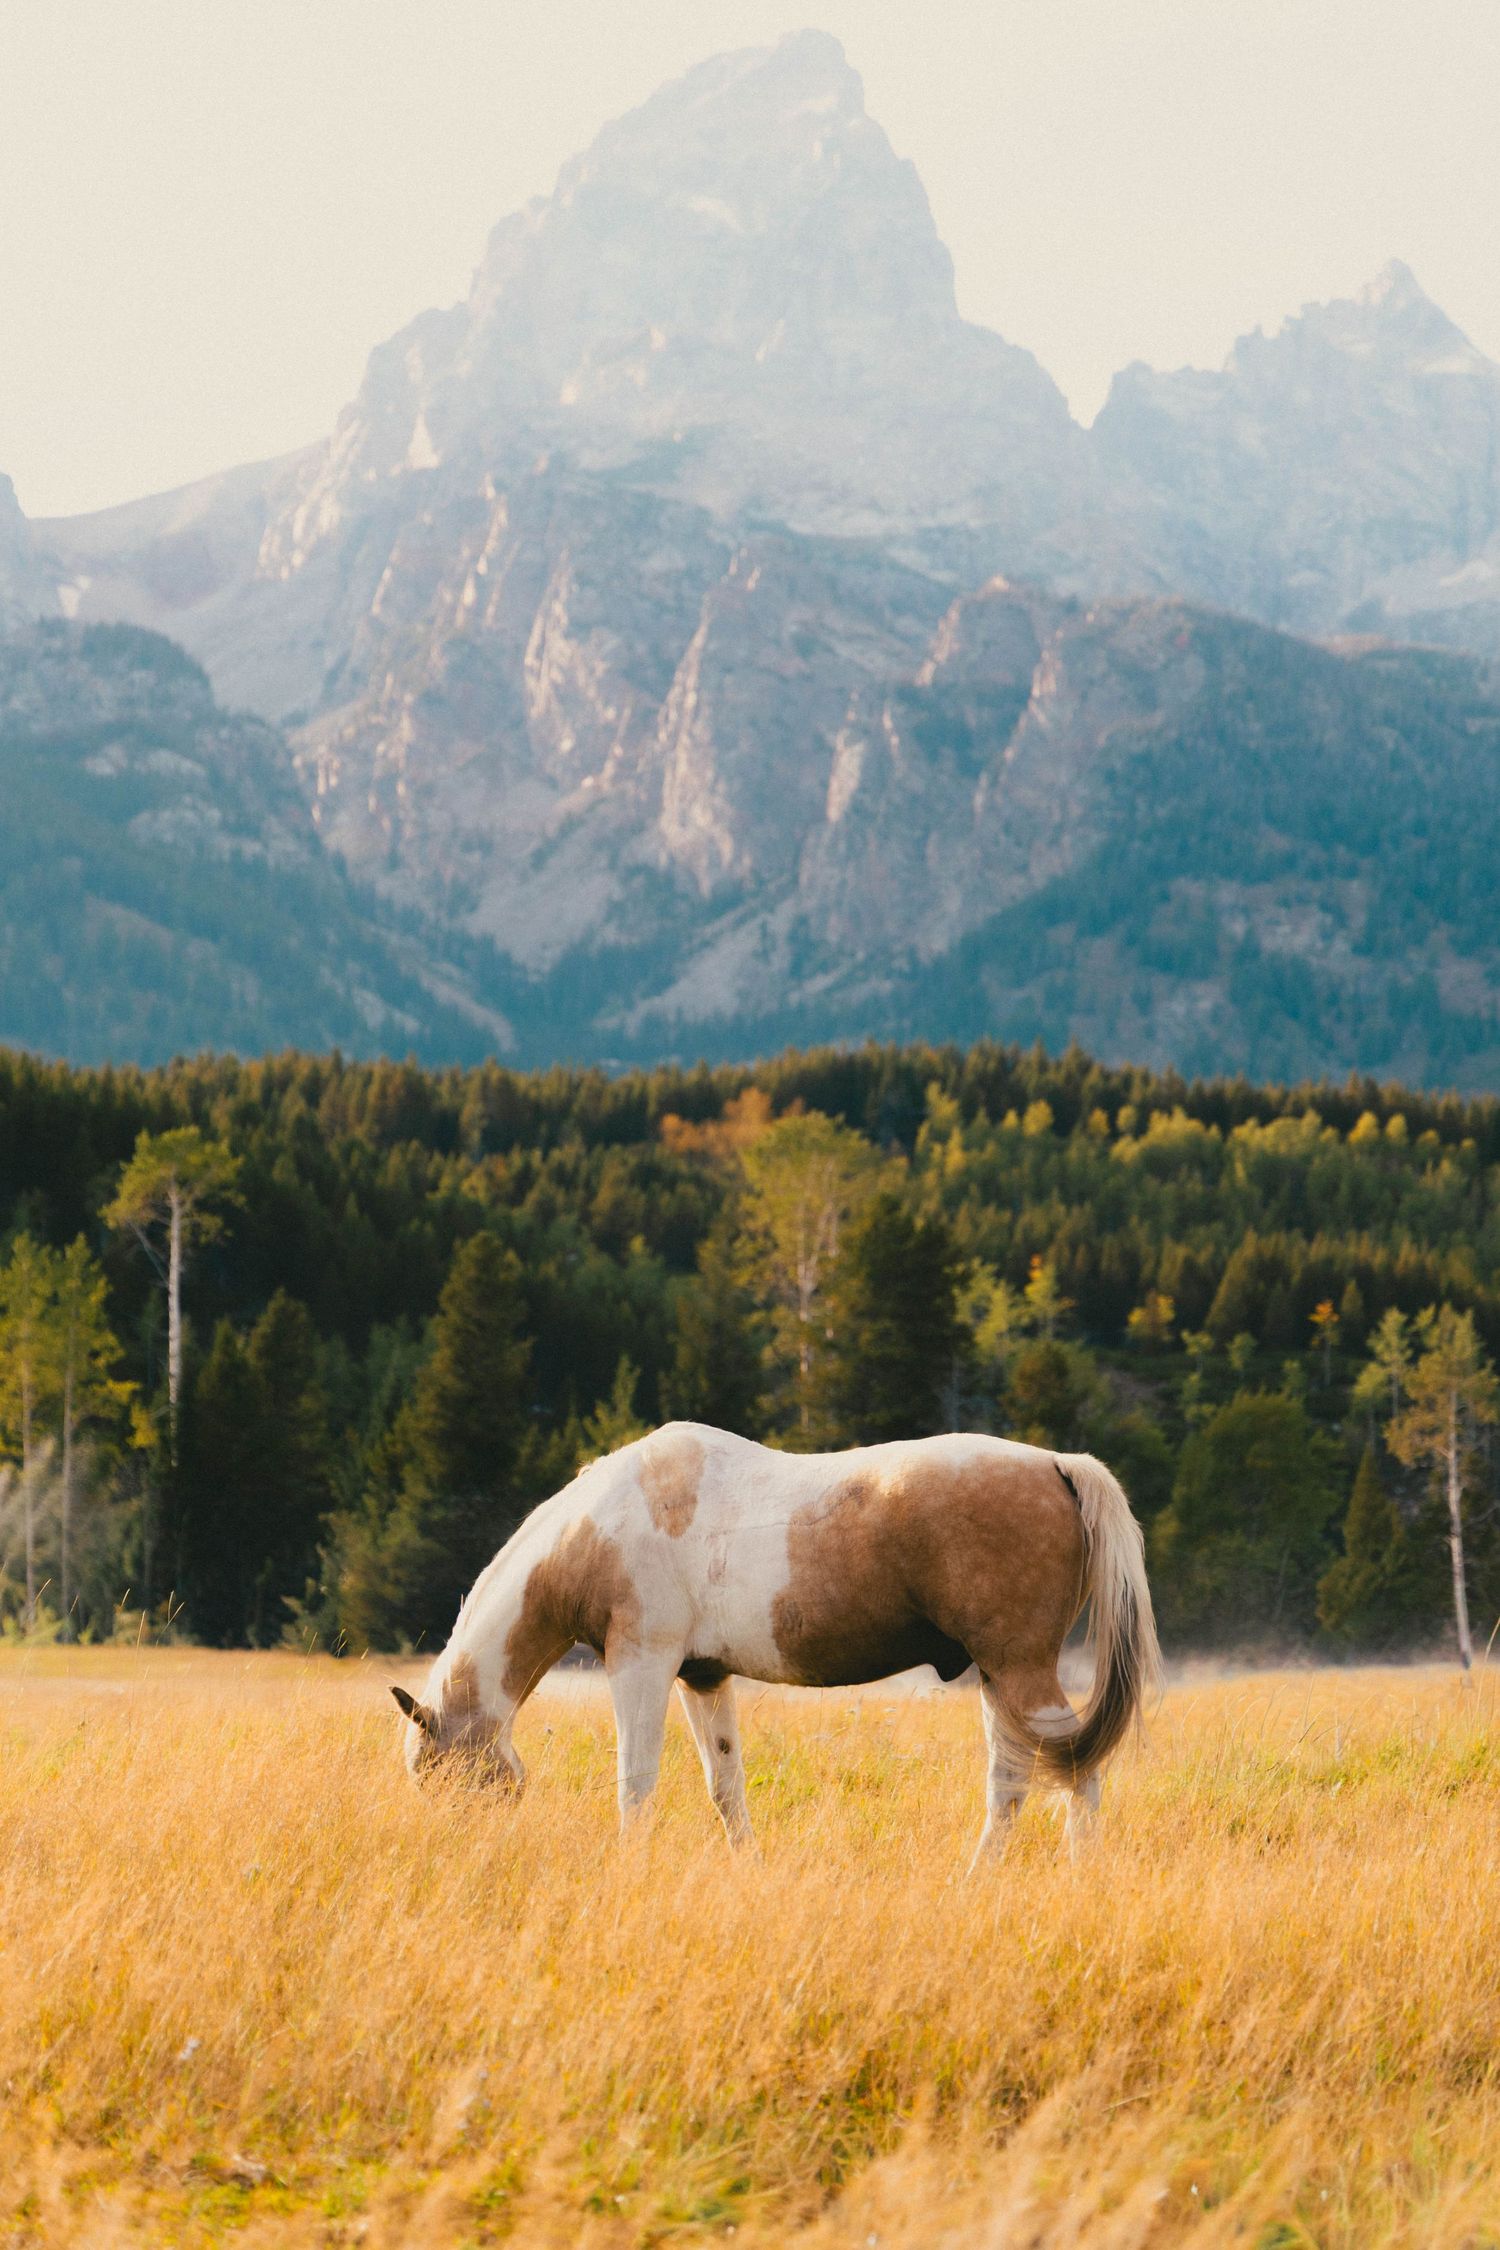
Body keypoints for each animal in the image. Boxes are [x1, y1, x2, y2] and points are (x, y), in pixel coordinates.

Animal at [390, 1421, 1159, 1859]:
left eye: (440, 1774)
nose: (467, 1851)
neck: (601, 1526)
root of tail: (1058, 1464)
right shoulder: (702, 1677)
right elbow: (724, 1786)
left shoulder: (640, 1665)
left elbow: (636, 1784)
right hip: (999, 1679)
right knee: (1013, 1782)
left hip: (1022, 1673)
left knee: (1076, 1777)